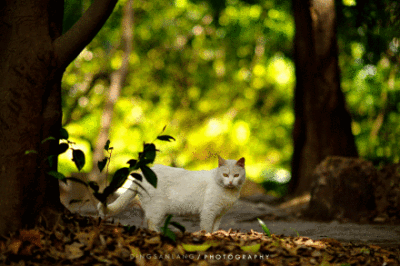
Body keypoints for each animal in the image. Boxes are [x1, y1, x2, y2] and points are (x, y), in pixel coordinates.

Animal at [98, 156, 245, 233]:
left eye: (236, 175)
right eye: (225, 175)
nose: (230, 182)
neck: (228, 192)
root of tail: (141, 175)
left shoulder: (219, 214)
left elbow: (215, 228)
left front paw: (215, 235)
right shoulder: (209, 211)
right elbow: (206, 227)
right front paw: (207, 236)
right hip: (157, 209)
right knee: (151, 223)